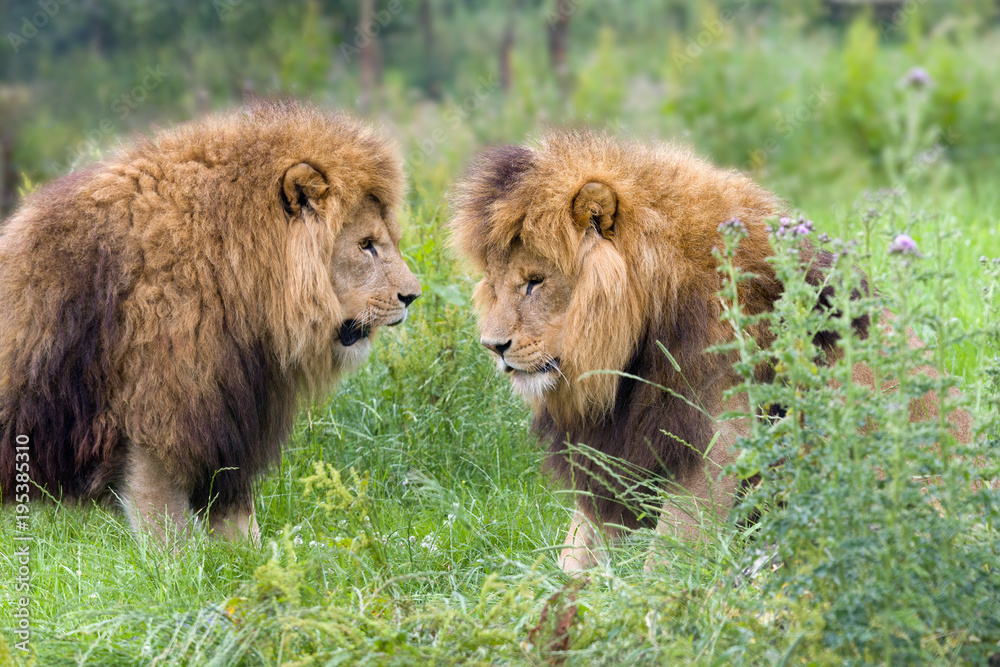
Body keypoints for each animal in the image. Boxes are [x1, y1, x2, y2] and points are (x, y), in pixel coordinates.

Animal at [0, 101, 421, 544]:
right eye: (366, 245)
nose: (413, 296)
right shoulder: (159, 411)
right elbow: (165, 518)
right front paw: (175, 561)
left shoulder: (230, 408)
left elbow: (237, 513)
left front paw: (256, 555)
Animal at [449, 131, 973, 572]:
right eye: (494, 284)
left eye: (535, 282)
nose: (492, 347)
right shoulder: (617, 453)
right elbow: (573, 558)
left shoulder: (717, 444)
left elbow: (663, 561)